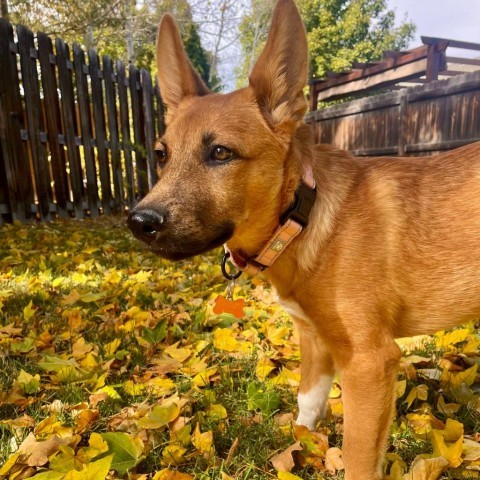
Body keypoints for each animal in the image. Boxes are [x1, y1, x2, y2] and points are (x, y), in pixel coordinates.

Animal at [126, 1, 480, 478]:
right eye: (161, 155)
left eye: (220, 153)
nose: (138, 221)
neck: (306, 221)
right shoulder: (313, 341)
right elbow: (306, 406)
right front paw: (297, 449)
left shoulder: (369, 362)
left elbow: (358, 458)